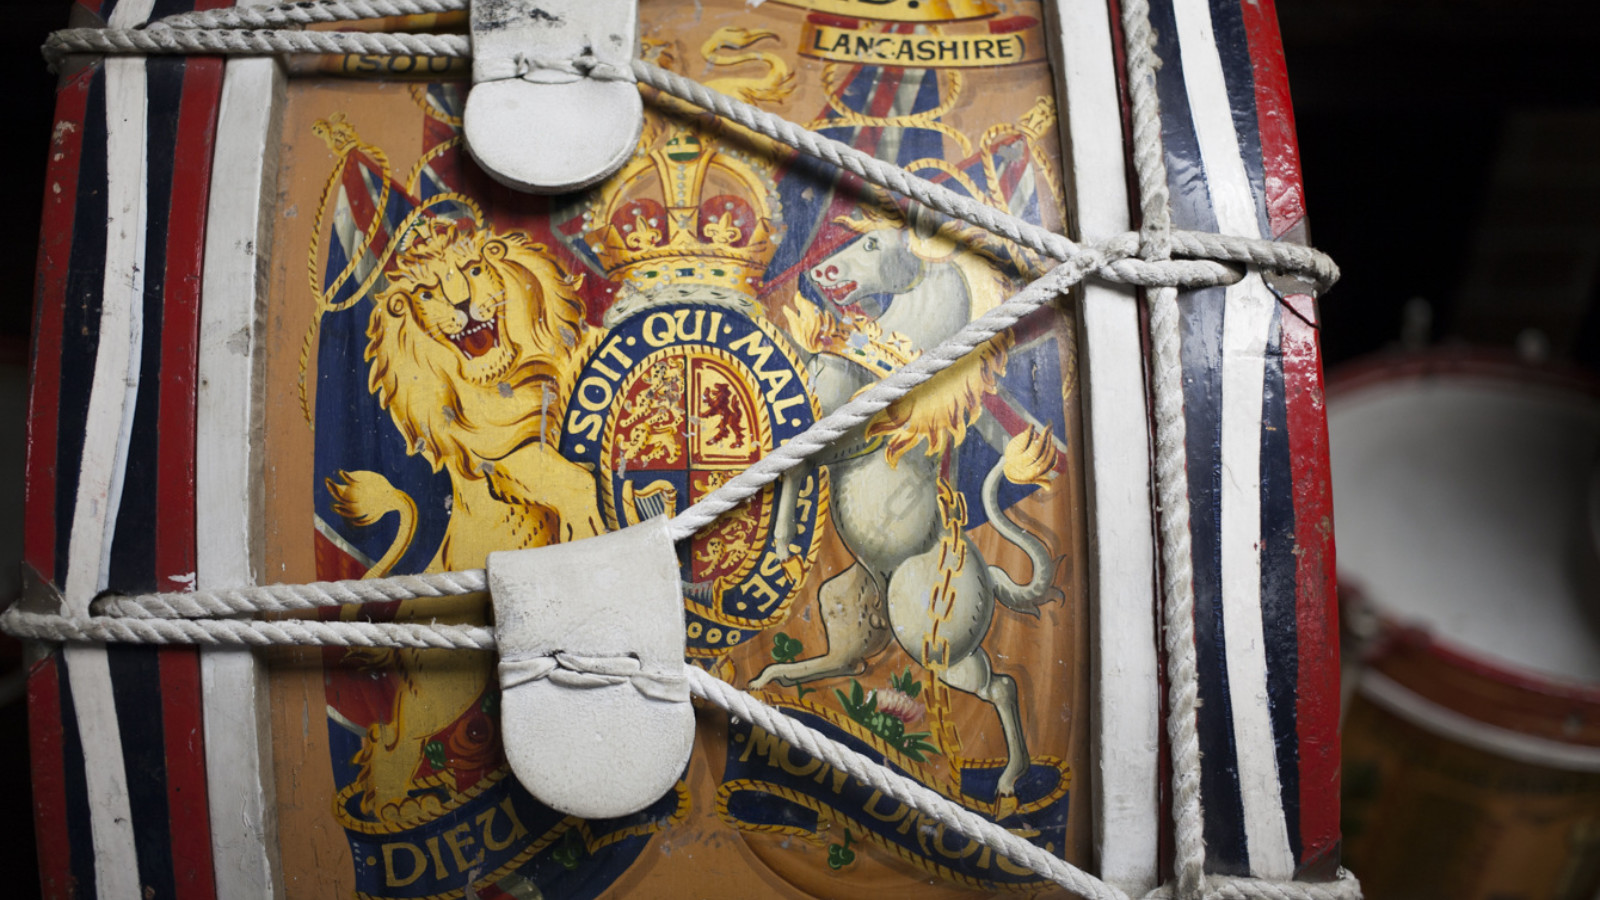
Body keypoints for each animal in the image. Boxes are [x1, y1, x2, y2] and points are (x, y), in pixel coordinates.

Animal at [324, 219, 604, 819]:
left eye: (474, 268)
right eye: (427, 293)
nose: (460, 302)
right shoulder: (501, 456)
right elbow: (573, 480)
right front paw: (586, 535)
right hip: (440, 689)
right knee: (394, 743)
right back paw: (399, 809)